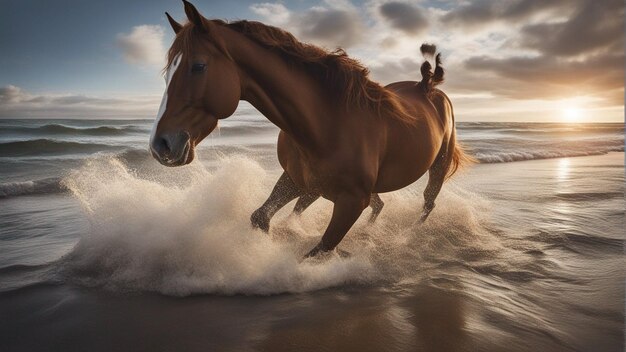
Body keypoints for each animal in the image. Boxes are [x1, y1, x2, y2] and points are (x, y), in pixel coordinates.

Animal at [151, 0, 470, 258]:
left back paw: (407, 236)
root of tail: (428, 86)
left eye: (198, 66)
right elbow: (260, 217)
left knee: (427, 204)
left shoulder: (351, 201)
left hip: (437, 168)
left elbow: (318, 251)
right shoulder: (298, 181)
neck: (327, 123)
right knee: (379, 206)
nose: (160, 146)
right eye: (167, 72)